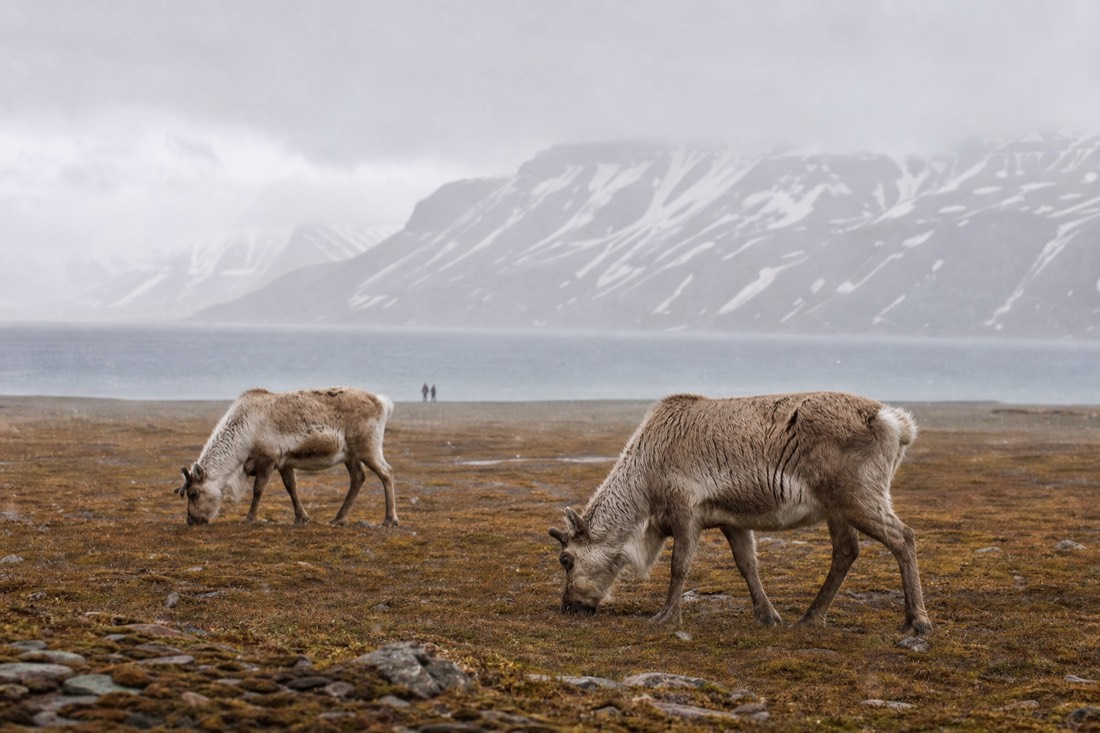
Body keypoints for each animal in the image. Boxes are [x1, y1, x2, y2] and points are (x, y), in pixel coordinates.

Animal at [176, 387, 397, 527]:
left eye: (193, 493)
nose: (190, 520)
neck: (244, 433)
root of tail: (383, 403)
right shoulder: (284, 463)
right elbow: (292, 488)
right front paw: (301, 518)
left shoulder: (268, 459)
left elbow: (258, 490)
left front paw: (249, 518)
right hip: (350, 455)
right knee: (358, 477)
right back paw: (338, 519)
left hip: (368, 448)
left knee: (387, 473)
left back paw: (389, 520)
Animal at [549, 391, 931, 637]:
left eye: (566, 559)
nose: (567, 606)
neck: (643, 485)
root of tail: (896, 423)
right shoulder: (731, 521)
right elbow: (747, 566)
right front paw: (767, 615)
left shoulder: (685, 511)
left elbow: (679, 567)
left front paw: (666, 616)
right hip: (836, 507)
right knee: (847, 551)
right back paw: (810, 618)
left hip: (858, 496)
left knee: (903, 537)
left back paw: (917, 621)